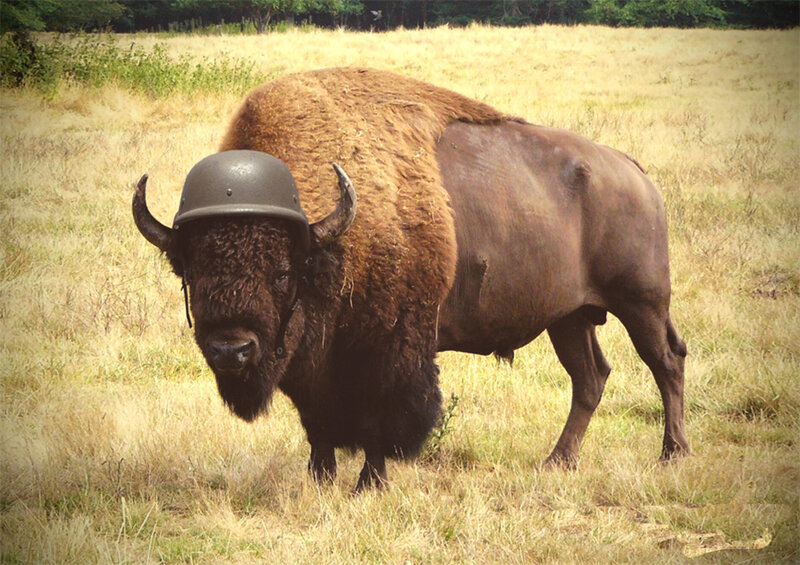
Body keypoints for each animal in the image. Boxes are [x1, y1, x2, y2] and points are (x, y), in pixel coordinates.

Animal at [133, 68, 689, 491]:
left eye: (283, 271)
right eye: (191, 271)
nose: (230, 350)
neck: (328, 239)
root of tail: (632, 171)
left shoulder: (389, 352)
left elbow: (381, 424)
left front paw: (368, 485)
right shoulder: (312, 365)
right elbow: (317, 424)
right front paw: (320, 480)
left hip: (641, 302)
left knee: (665, 362)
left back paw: (672, 454)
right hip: (569, 317)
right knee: (590, 377)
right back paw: (557, 462)